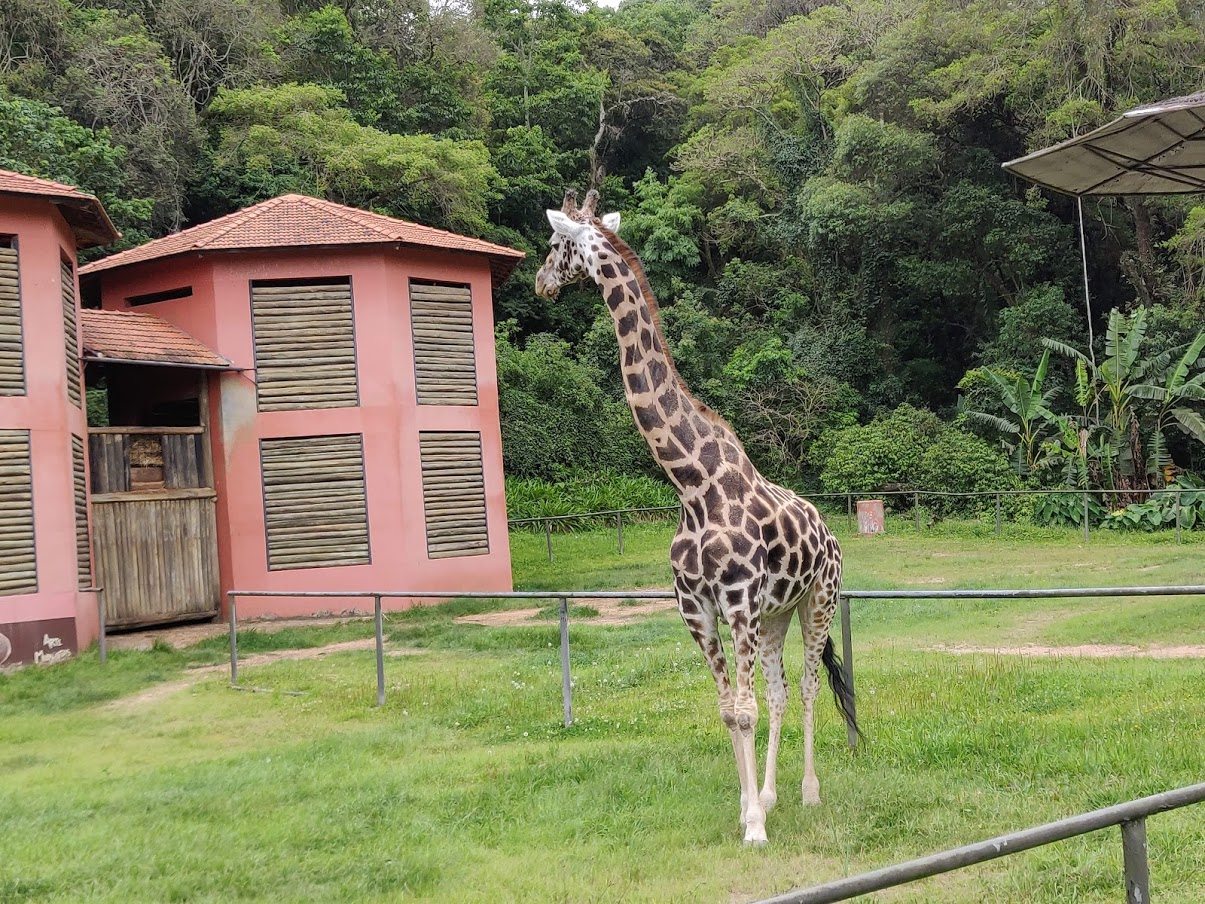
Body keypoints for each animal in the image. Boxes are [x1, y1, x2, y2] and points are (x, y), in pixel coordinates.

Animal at [535, 191, 857, 848]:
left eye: (554, 245)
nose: (539, 284)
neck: (690, 483)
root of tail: (832, 533)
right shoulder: (697, 607)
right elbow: (730, 710)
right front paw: (748, 809)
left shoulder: (736, 601)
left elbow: (745, 709)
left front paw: (755, 829)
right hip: (776, 614)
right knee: (778, 693)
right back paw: (771, 794)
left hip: (817, 601)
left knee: (807, 686)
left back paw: (808, 794)